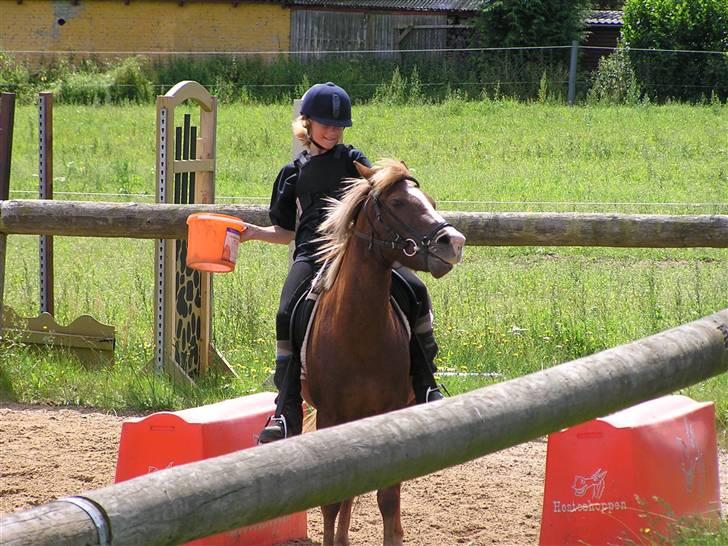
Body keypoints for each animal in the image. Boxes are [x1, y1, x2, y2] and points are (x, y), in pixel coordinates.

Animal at [302, 159, 466, 544]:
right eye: (398, 203)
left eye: (431, 201)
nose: (454, 242)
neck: (358, 333)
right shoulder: (331, 417)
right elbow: (333, 501)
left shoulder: (390, 413)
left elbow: (388, 498)